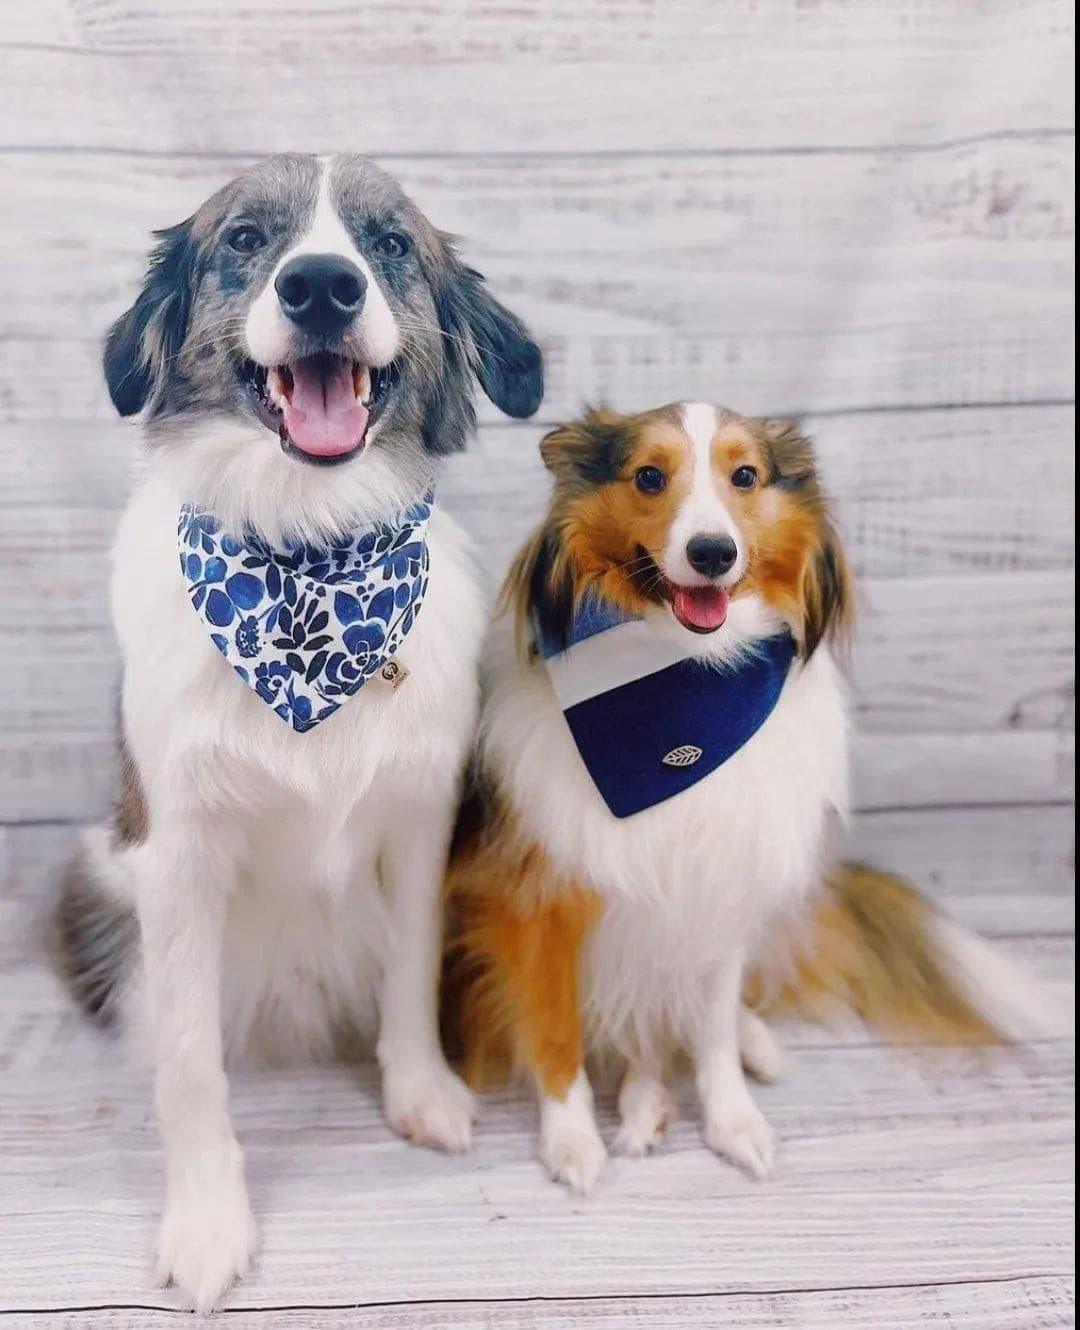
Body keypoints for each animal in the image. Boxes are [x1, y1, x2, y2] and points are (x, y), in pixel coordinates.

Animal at [56, 152, 540, 1308]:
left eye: (391, 243)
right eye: (245, 239)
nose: (323, 285)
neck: (308, 564)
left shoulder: (422, 822)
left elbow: (410, 973)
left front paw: (422, 1092)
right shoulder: (174, 853)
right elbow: (190, 1059)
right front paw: (206, 1222)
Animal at [444, 401, 1048, 1197]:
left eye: (746, 477)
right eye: (649, 476)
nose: (711, 553)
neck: (688, 687)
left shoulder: (720, 885)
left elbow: (711, 1030)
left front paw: (732, 1120)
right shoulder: (533, 900)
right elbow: (554, 1029)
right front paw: (572, 1140)